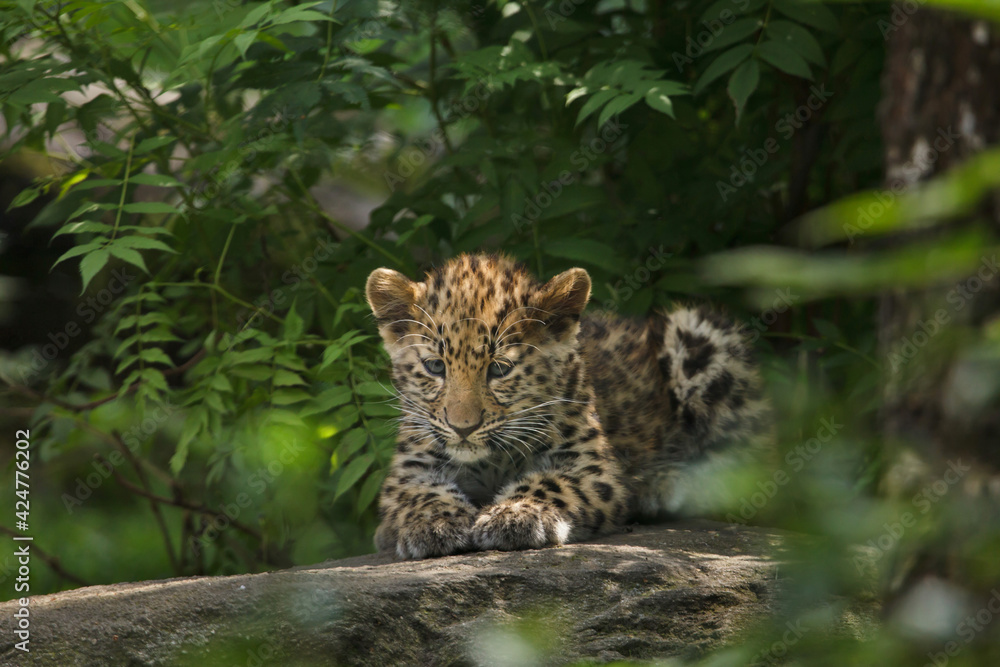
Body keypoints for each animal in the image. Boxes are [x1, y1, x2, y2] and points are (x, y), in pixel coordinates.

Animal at [365, 253, 771, 559]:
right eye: (435, 367)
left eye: (499, 369)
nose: (463, 427)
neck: (490, 461)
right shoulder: (409, 468)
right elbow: (419, 494)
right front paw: (434, 523)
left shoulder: (588, 464)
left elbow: (548, 482)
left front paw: (516, 514)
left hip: (701, 336)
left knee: (747, 463)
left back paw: (658, 485)